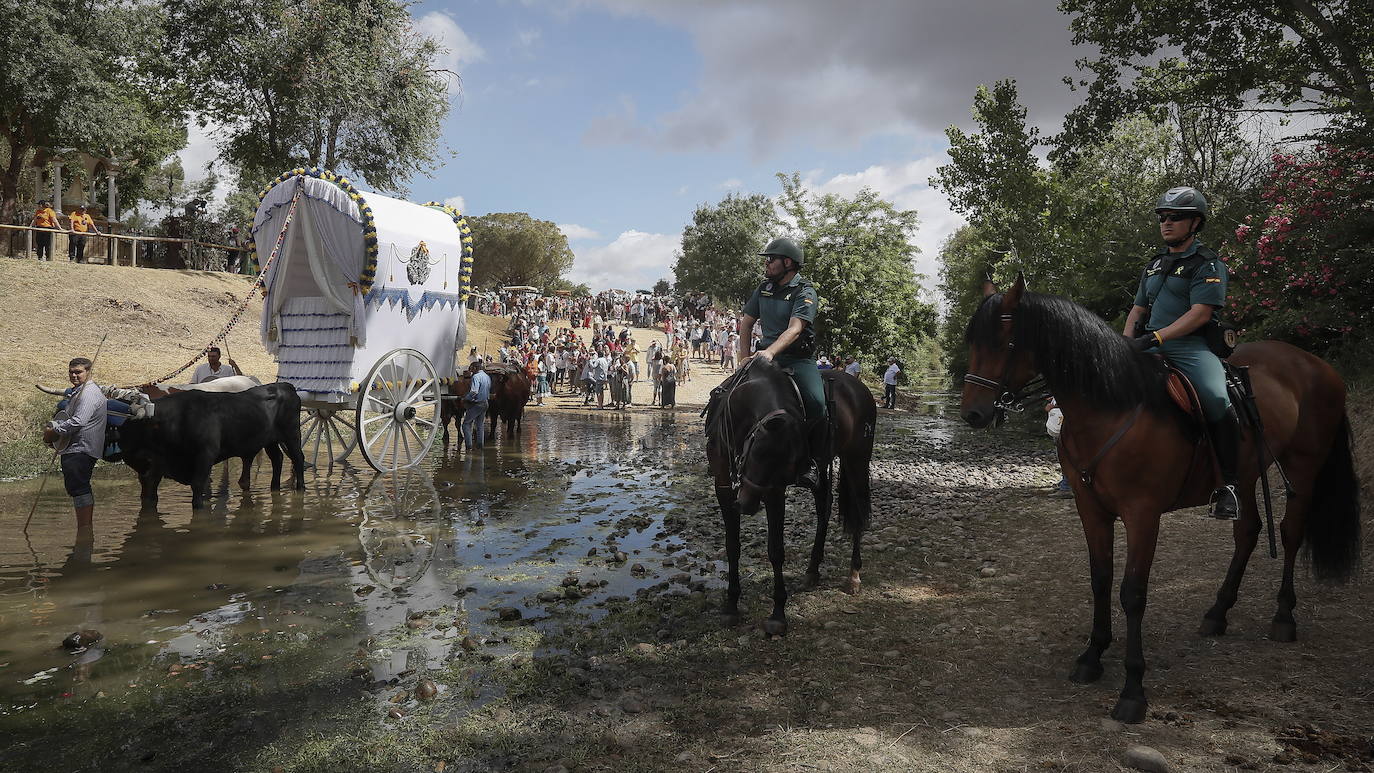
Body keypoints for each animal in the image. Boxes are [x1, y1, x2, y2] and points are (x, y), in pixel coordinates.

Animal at [708, 359, 879, 637]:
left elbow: (776, 551)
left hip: (857, 460)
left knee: (859, 513)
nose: (747, 504)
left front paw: (778, 614)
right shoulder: (723, 487)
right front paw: (731, 605)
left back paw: (854, 575)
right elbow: (732, 547)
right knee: (824, 509)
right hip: (824, 468)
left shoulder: (774, 491)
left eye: (785, 464)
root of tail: (859, 387)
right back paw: (812, 571)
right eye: (755, 450)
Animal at [967, 274, 1363, 724]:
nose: (972, 414)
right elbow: (1100, 579)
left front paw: (1133, 689)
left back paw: (1283, 617)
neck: (1111, 406)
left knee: (1290, 532)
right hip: (1244, 477)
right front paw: (1092, 655)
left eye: (1004, 342)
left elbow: (1133, 592)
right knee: (1247, 532)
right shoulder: (1091, 510)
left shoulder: (1143, 514)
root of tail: (1316, 364)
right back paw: (1217, 613)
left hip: (1303, 467)